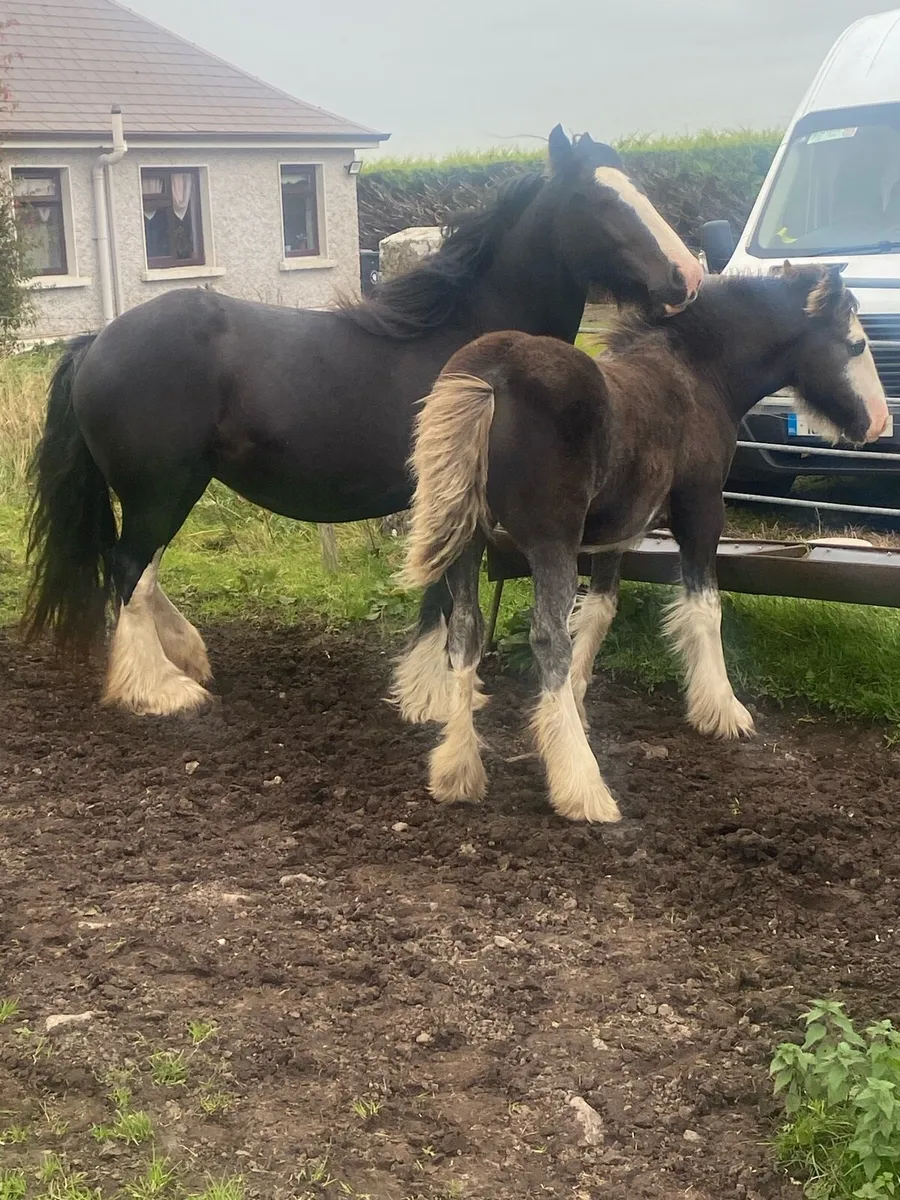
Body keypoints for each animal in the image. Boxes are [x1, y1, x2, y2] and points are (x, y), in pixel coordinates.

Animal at [23, 125, 702, 718]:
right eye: (598, 197)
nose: (688, 276)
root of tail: (97, 340)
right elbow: (445, 601)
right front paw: (436, 697)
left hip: (167, 491)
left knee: (142, 570)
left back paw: (188, 657)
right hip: (160, 490)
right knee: (129, 570)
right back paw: (160, 689)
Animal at [399, 263, 889, 824]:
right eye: (855, 344)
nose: (878, 421)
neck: (697, 373)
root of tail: (489, 373)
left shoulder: (616, 531)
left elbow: (598, 611)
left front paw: (577, 707)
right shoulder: (701, 510)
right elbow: (704, 606)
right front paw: (722, 709)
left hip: (469, 538)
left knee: (465, 631)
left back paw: (457, 771)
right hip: (549, 541)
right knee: (545, 637)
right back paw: (583, 786)